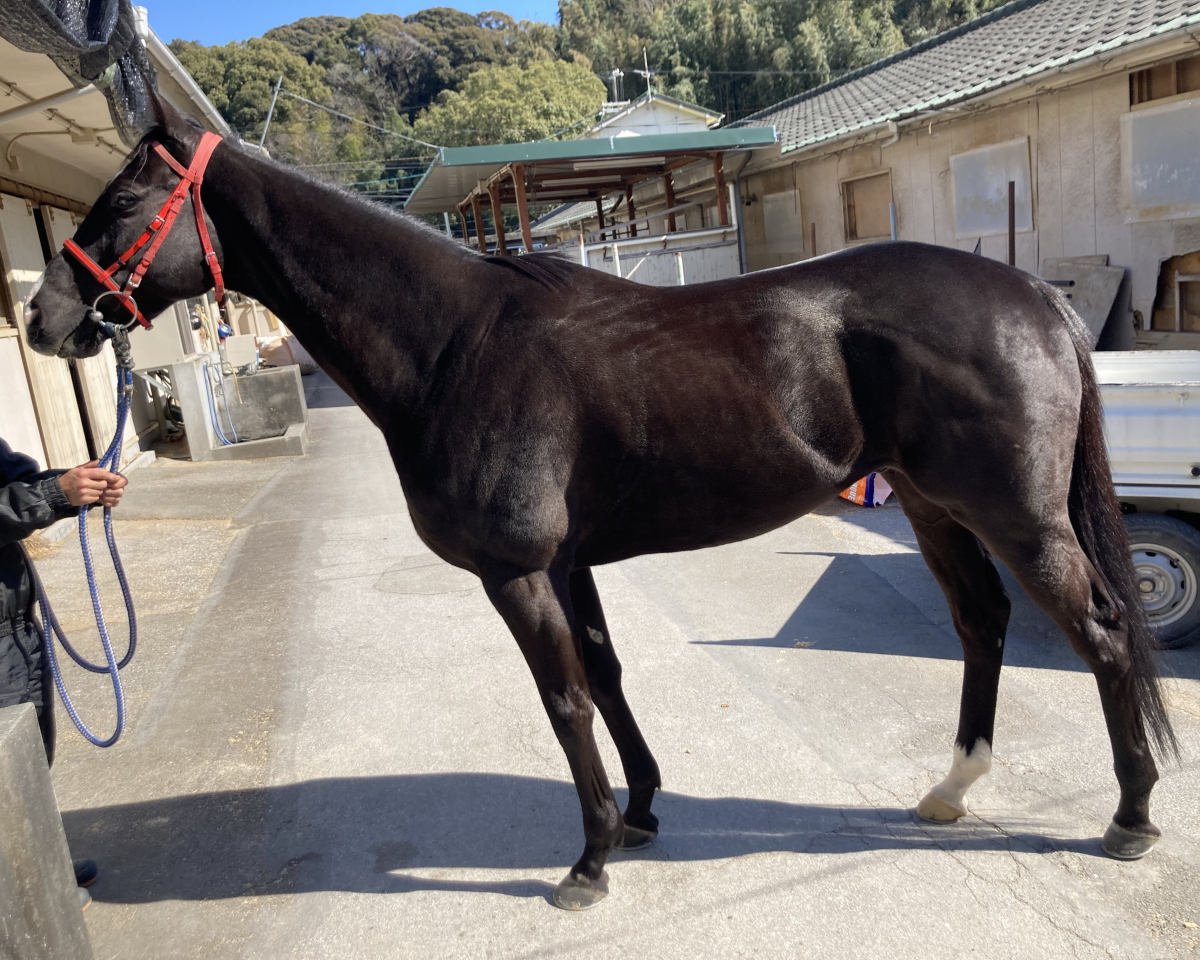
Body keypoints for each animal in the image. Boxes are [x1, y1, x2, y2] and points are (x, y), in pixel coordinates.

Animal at [25, 92, 1176, 910]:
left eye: (121, 203)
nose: (45, 317)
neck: (454, 344)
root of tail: (1034, 299)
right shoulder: (569, 563)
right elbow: (609, 678)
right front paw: (640, 813)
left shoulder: (519, 572)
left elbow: (565, 699)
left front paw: (586, 863)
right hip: (936, 507)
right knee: (982, 625)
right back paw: (951, 790)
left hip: (1018, 518)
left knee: (1104, 634)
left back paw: (1129, 817)